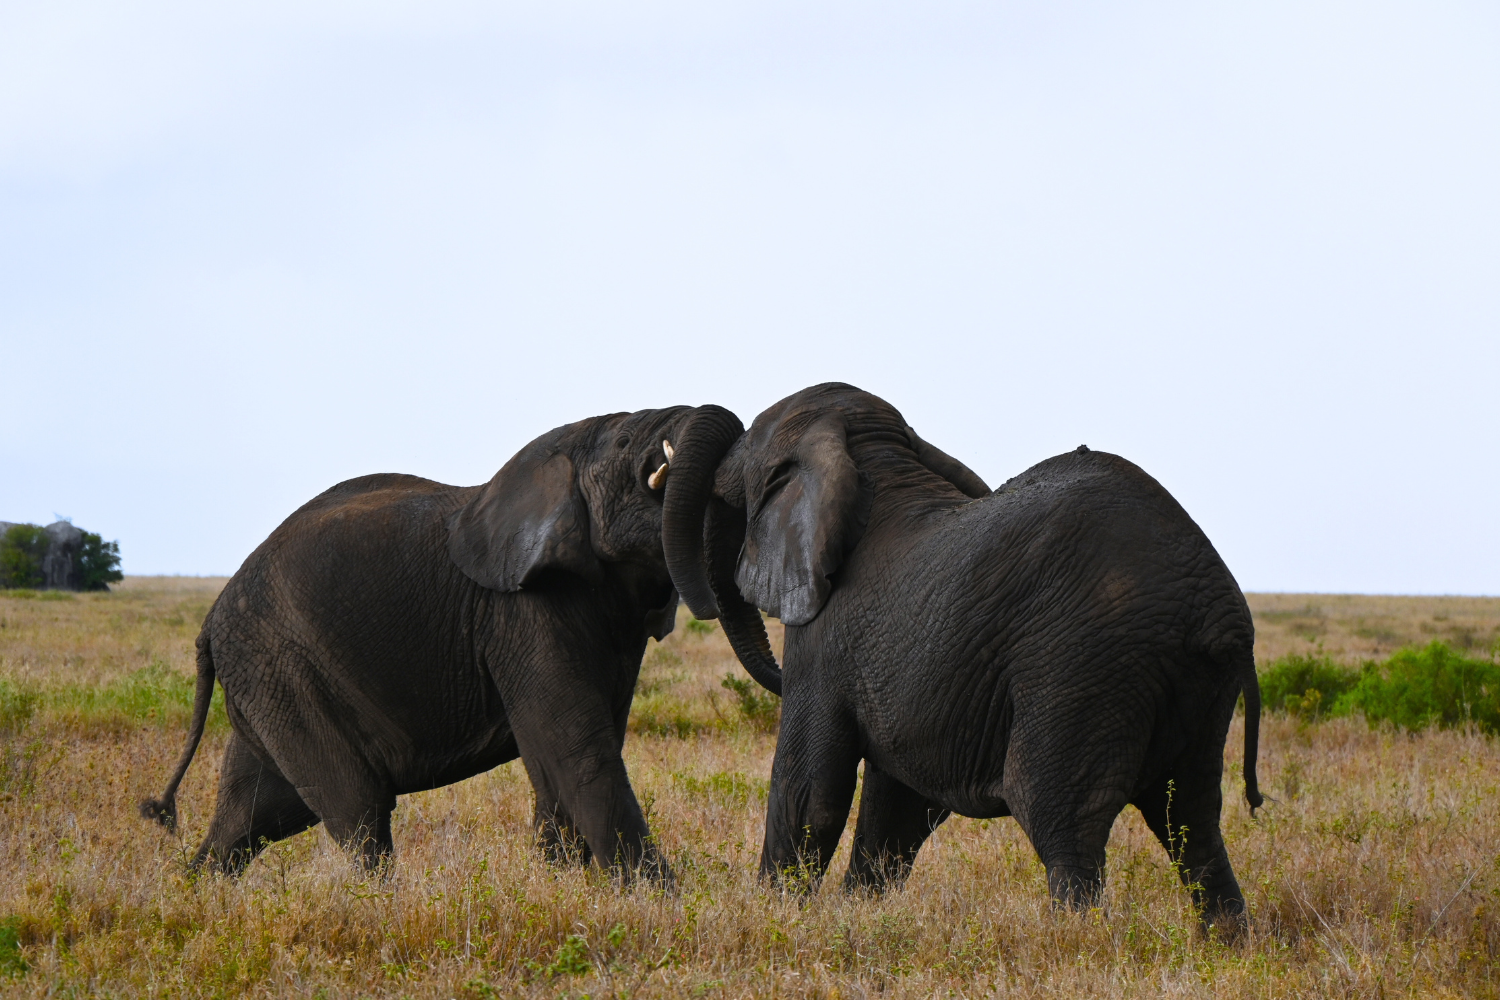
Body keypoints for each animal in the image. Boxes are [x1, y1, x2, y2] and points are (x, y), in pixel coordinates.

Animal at [142, 403, 746, 877]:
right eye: (624, 443)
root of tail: (211, 618)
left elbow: (572, 751)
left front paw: (561, 884)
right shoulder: (520, 611)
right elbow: (576, 748)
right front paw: (658, 900)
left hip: (266, 677)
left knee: (255, 812)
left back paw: (197, 891)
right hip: (281, 664)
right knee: (356, 810)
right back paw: (377, 906)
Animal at [661, 383, 1263, 927]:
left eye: (750, 444)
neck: (872, 453)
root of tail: (1213, 608)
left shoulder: (823, 636)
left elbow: (811, 790)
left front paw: (774, 917)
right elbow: (897, 804)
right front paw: (860, 920)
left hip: (1083, 665)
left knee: (1060, 818)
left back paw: (1076, 943)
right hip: (1190, 689)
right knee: (1192, 821)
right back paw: (1229, 948)